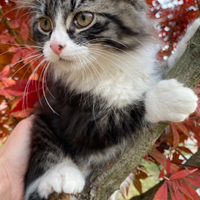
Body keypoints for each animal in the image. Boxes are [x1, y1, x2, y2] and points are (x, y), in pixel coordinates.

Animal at [17, 0, 198, 200]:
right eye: (45, 24)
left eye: (83, 18)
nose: (55, 46)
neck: (107, 65)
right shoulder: (73, 115)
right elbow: (114, 120)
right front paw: (165, 98)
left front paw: (191, 34)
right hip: (42, 120)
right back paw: (60, 174)